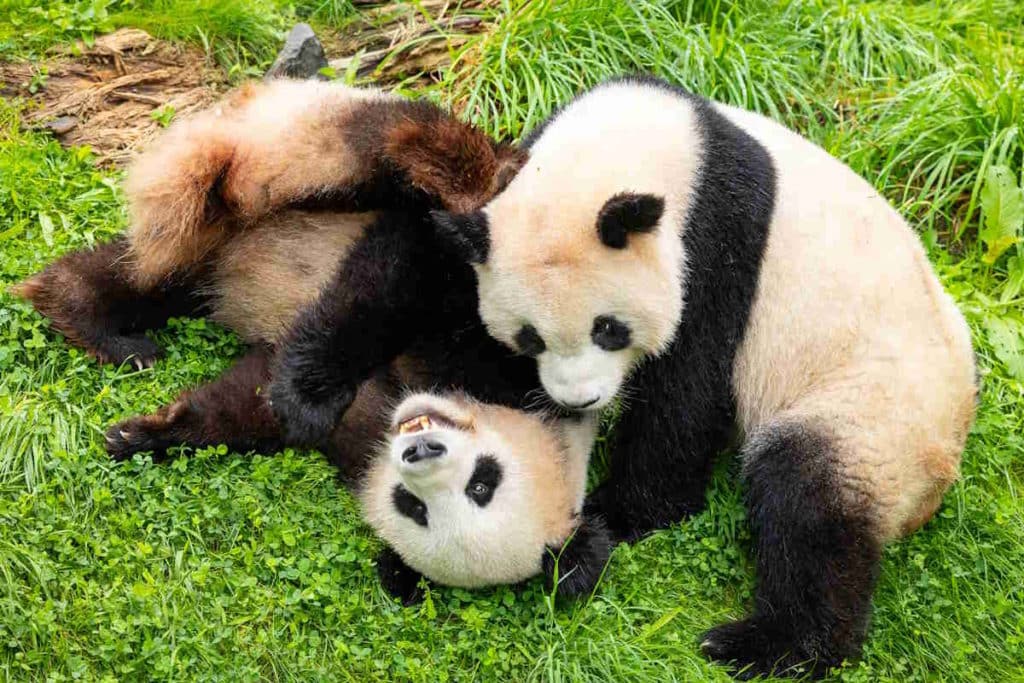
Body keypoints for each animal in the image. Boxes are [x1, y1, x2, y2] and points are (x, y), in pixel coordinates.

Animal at [14, 79, 610, 602]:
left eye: (417, 509)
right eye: (485, 481)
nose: (420, 449)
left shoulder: (361, 432)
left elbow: (246, 404)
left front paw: (148, 433)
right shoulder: (500, 343)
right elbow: (399, 277)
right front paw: (304, 395)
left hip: (205, 261)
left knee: (143, 277)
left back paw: (84, 315)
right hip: (313, 147)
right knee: (378, 146)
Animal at [425, 75, 978, 678]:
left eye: (609, 329)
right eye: (530, 338)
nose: (579, 400)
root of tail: (936, 480)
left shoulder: (717, 247)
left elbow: (687, 390)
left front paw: (616, 512)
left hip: (873, 410)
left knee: (809, 499)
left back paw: (770, 645)